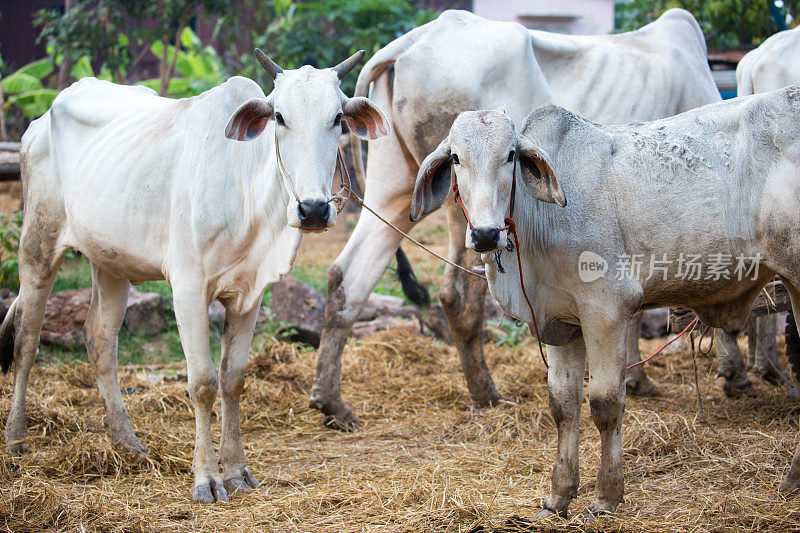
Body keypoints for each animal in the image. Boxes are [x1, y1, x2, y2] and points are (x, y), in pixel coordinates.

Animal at [0, 51, 390, 502]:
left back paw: (128, 445)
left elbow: (233, 379)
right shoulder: (187, 289)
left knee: (100, 341)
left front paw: (236, 471)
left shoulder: (249, 294)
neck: (245, 189)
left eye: (338, 119)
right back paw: (16, 439)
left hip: (110, 262)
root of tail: (40, 120)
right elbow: (202, 383)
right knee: (27, 338)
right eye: (279, 117)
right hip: (38, 244)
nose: (313, 209)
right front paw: (206, 478)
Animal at [310, 7, 720, 428]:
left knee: (347, 278)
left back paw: (331, 402)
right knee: (457, 296)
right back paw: (485, 394)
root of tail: (413, 40)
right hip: (466, 214)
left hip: (395, 189)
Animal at [410, 89, 800, 516]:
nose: (484, 234)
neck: (539, 223)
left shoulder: (606, 310)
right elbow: (563, 406)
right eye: (456, 158)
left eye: (510, 155)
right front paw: (558, 495)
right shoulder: (561, 324)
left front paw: (607, 494)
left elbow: (604, 403)